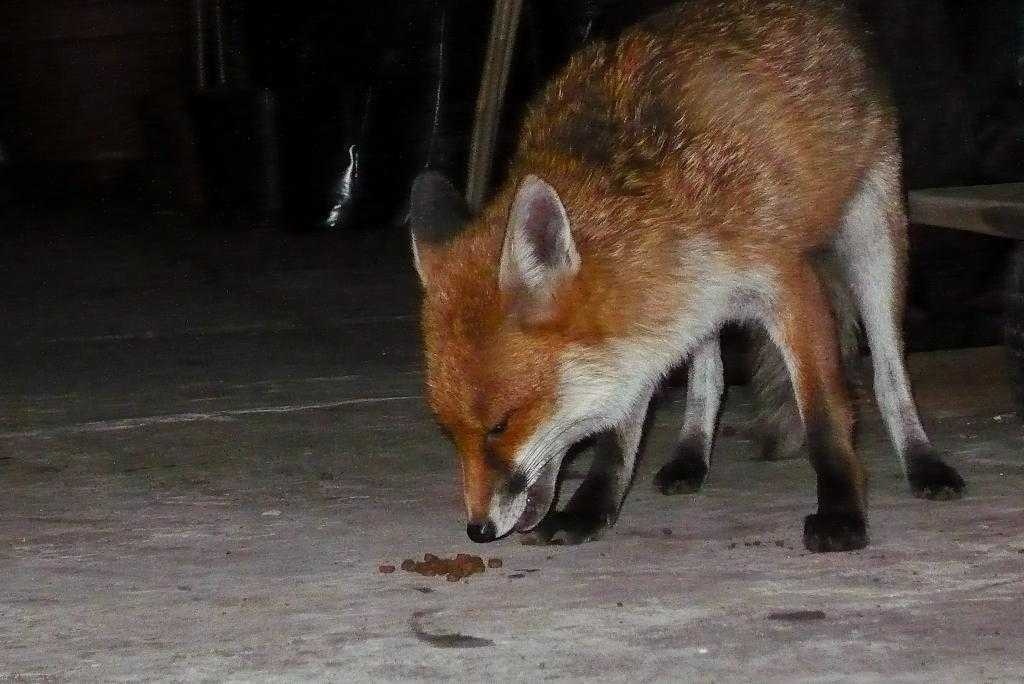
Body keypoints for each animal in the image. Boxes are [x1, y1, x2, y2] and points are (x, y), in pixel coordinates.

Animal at [407, 0, 965, 552]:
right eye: (451, 433)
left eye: (500, 426)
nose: (477, 530)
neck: (662, 205)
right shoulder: (650, 313)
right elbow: (619, 435)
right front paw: (591, 510)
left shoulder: (786, 282)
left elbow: (825, 418)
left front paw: (842, 513)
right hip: (702, 309)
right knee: (707, 378)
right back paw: (691, 456)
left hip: (873, 241)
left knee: (890, 376)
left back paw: (923, 462)